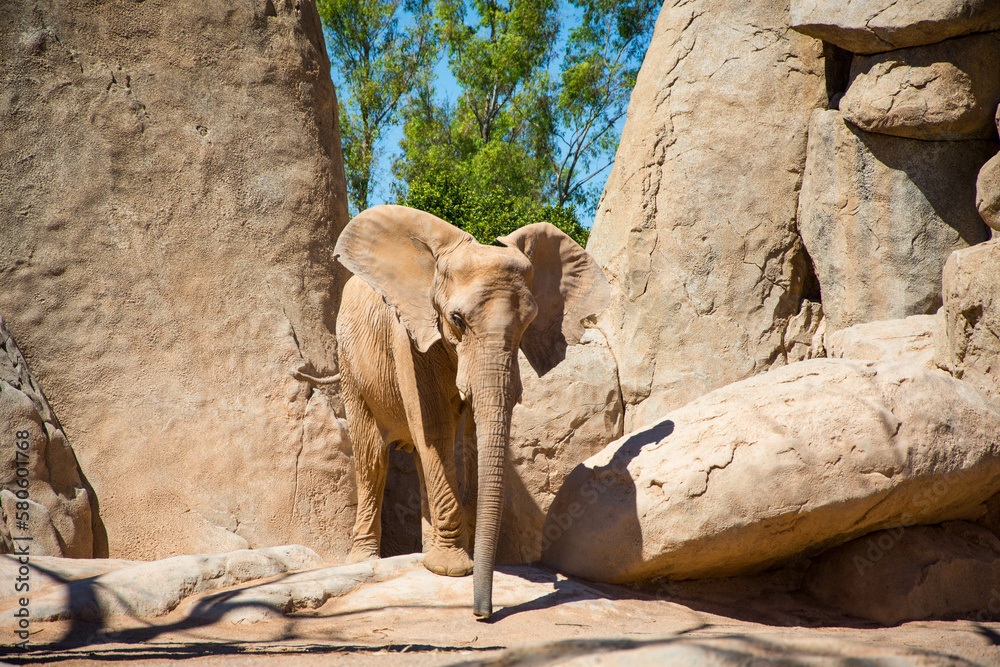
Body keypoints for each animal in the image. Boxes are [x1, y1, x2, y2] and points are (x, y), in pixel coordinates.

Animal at [333, 204, 610, 618]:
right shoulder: (409, 333)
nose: (483, 613)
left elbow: (470, 438)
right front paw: (451, 570)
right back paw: (364, 560)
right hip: (349, 360)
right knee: (373, 458)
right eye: (457, 320)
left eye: (529, 323)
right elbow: (433, 426)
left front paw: (464, 561)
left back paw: (424, 553)